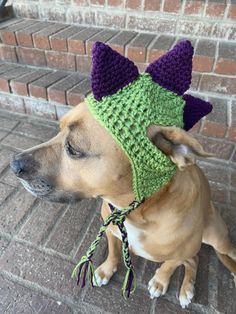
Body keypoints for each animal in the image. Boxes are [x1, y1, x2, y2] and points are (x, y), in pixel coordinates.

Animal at [10, 101, 236, 310]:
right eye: (59, 129)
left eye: (72, 148)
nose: (13, 165)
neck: (135, 212)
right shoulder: (111, 231)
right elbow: (113, 252)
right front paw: (105, 270)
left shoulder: (181, 251)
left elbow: (168, 265)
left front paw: (160, 281)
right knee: (194, 260)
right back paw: (187, 289)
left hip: (215, 238)